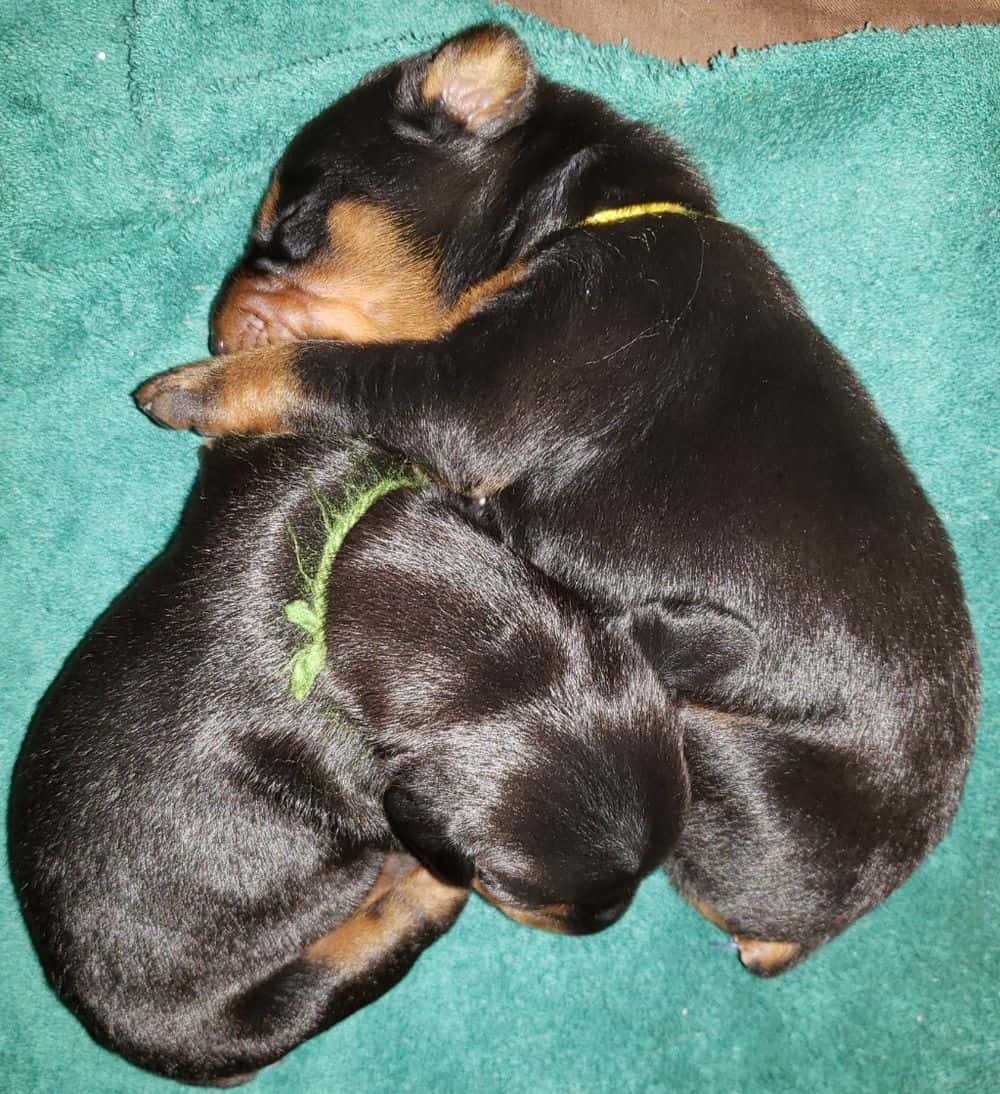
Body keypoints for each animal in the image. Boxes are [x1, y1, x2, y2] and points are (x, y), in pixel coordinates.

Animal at [136, 25, 980, 980]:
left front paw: (192, 388)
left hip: (699, 733)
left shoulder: (465, 396)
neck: (582, 220)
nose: (213, 334)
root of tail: (804, 938)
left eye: (288, 228)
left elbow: (318, 371)